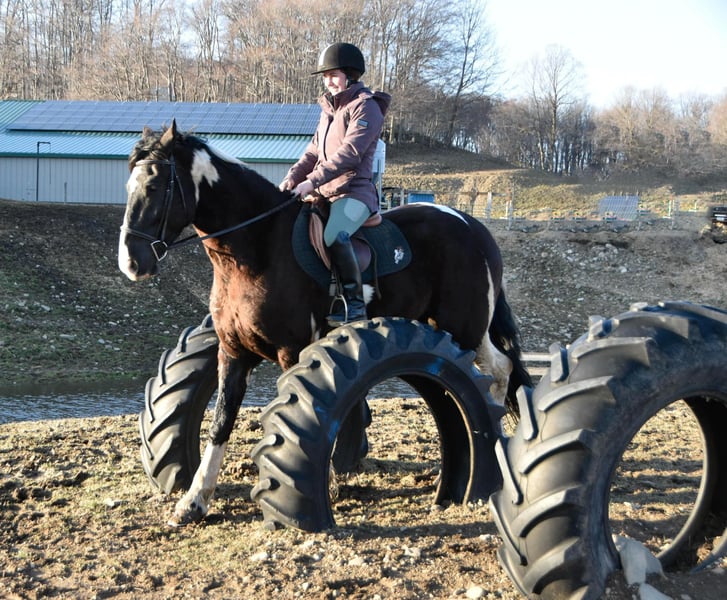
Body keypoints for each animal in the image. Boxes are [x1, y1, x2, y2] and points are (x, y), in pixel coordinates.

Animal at [118, 120, 532, 526]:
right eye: (128, 187)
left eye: (153, 186)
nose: (131, 263)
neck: (259, 247)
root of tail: (472, 226)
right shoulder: (233, 352)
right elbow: (221, 421)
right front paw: (193, 501)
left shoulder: (292, 352)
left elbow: (298, 412)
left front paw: (323, 483)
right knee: (497, 369)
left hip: (465, 328)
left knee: (499, 372)